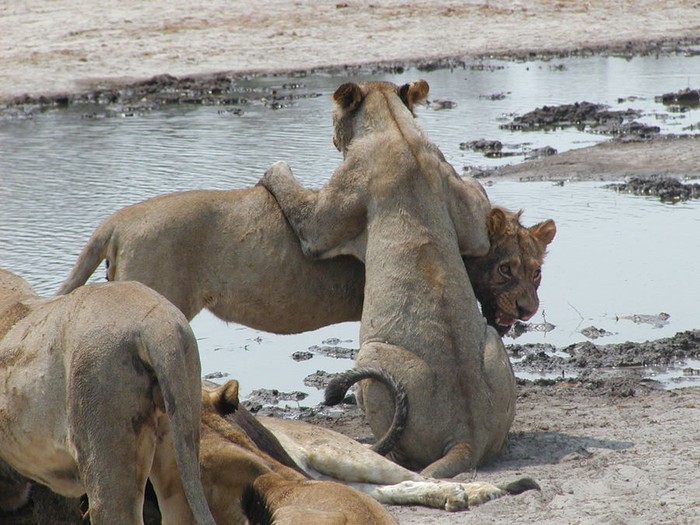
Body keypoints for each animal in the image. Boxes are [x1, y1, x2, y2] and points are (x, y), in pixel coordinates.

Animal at [258, 79, 556, 478]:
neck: (395, 126)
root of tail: (467, 438)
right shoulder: (470, 220)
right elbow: (476, 191)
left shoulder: (319, 227)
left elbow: (288, 190)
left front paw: (272, 167)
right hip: (492, 341)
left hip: (372, 354)